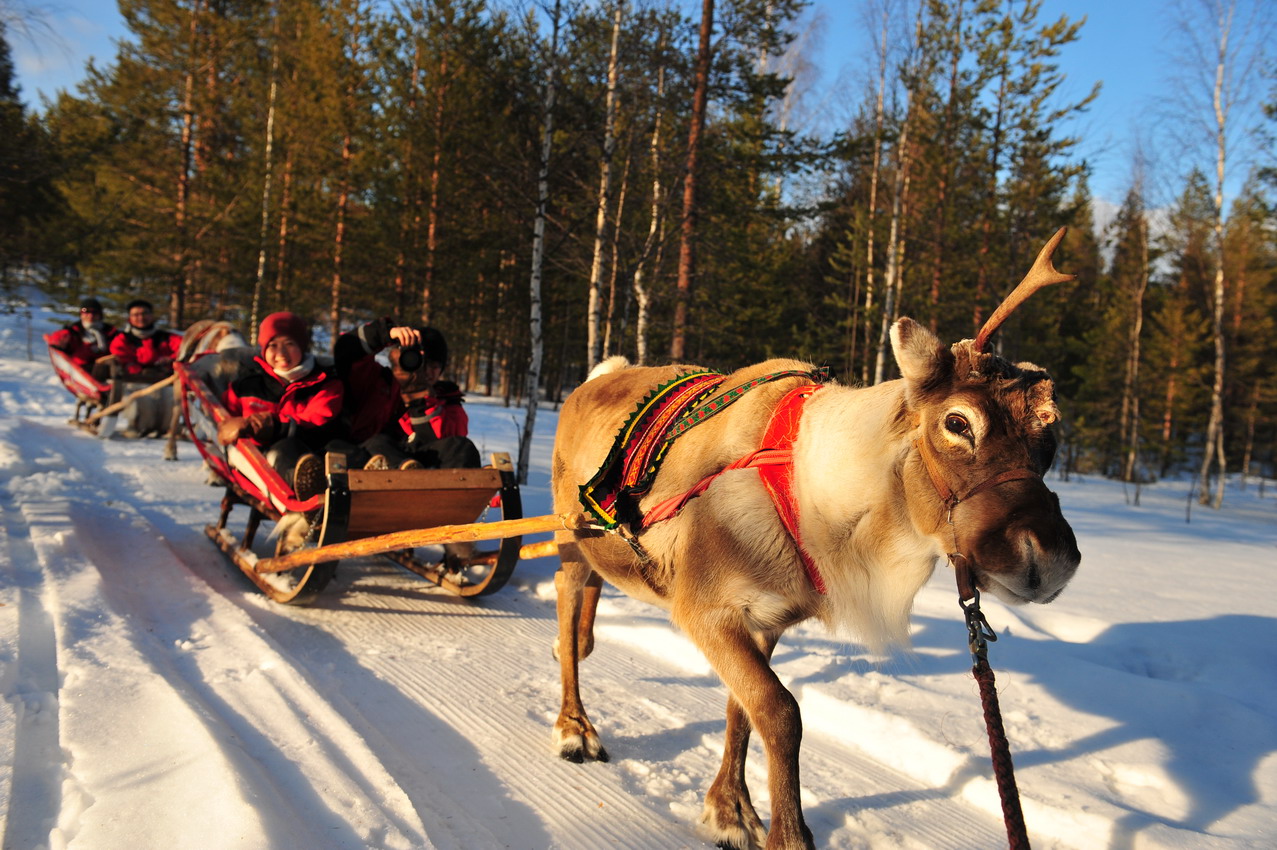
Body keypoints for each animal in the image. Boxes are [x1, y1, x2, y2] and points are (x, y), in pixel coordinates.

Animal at [548, 228, 1082, 849]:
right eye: (957, 423)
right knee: (566, 598)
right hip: (569, 535)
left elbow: (742, 711)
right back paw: (574, 727)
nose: (1052, 560)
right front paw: (784, 831)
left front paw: (731, 811)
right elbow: (781, 713)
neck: (821, 501)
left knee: (589, 602)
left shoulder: (768, 619)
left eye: (1050, 440)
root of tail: (592, 378)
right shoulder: (704, 609)